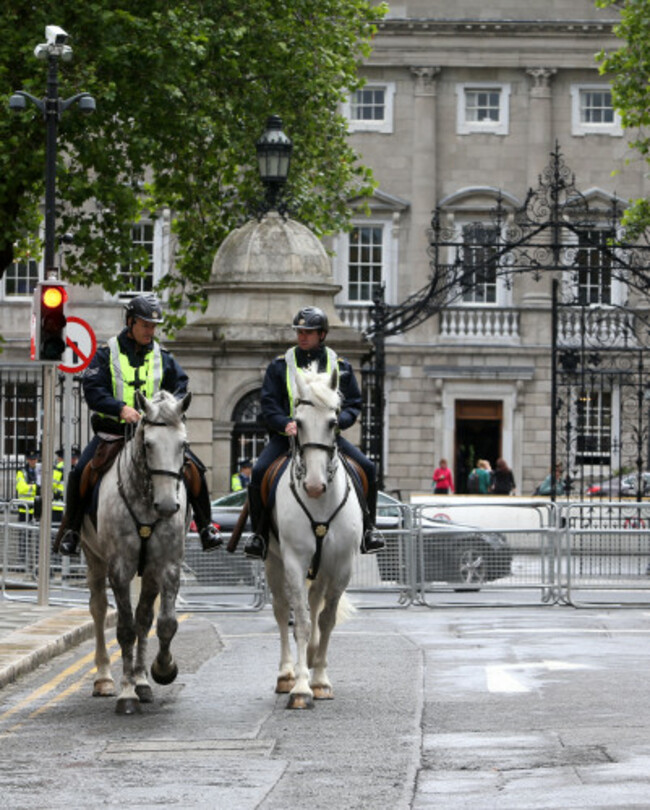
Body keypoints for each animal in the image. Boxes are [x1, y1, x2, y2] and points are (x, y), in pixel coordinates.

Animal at [80, 388, 190, 712]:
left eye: (183, 444)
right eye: (148, 443)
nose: (166, 506)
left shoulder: (166, 566)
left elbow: (164, 623)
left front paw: (162, 670)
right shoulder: (119, 568)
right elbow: (125, 629)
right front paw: (127, 693)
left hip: (149, 573)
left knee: (144, 618)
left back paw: (142, 681)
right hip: (94, 559)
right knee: (99, 609)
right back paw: (105, 678)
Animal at [264, 366, 364, 708]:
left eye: (333, 422)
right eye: (299, 421)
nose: (314, 486)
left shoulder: (342, 565)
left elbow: (325, 620)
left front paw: (319, 679)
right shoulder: (294, 562)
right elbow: (302, 622)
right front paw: (301, 687)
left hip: (321, 570)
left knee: (315, 604)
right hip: (274, 562)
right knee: (283, 611)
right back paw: (286, 673)